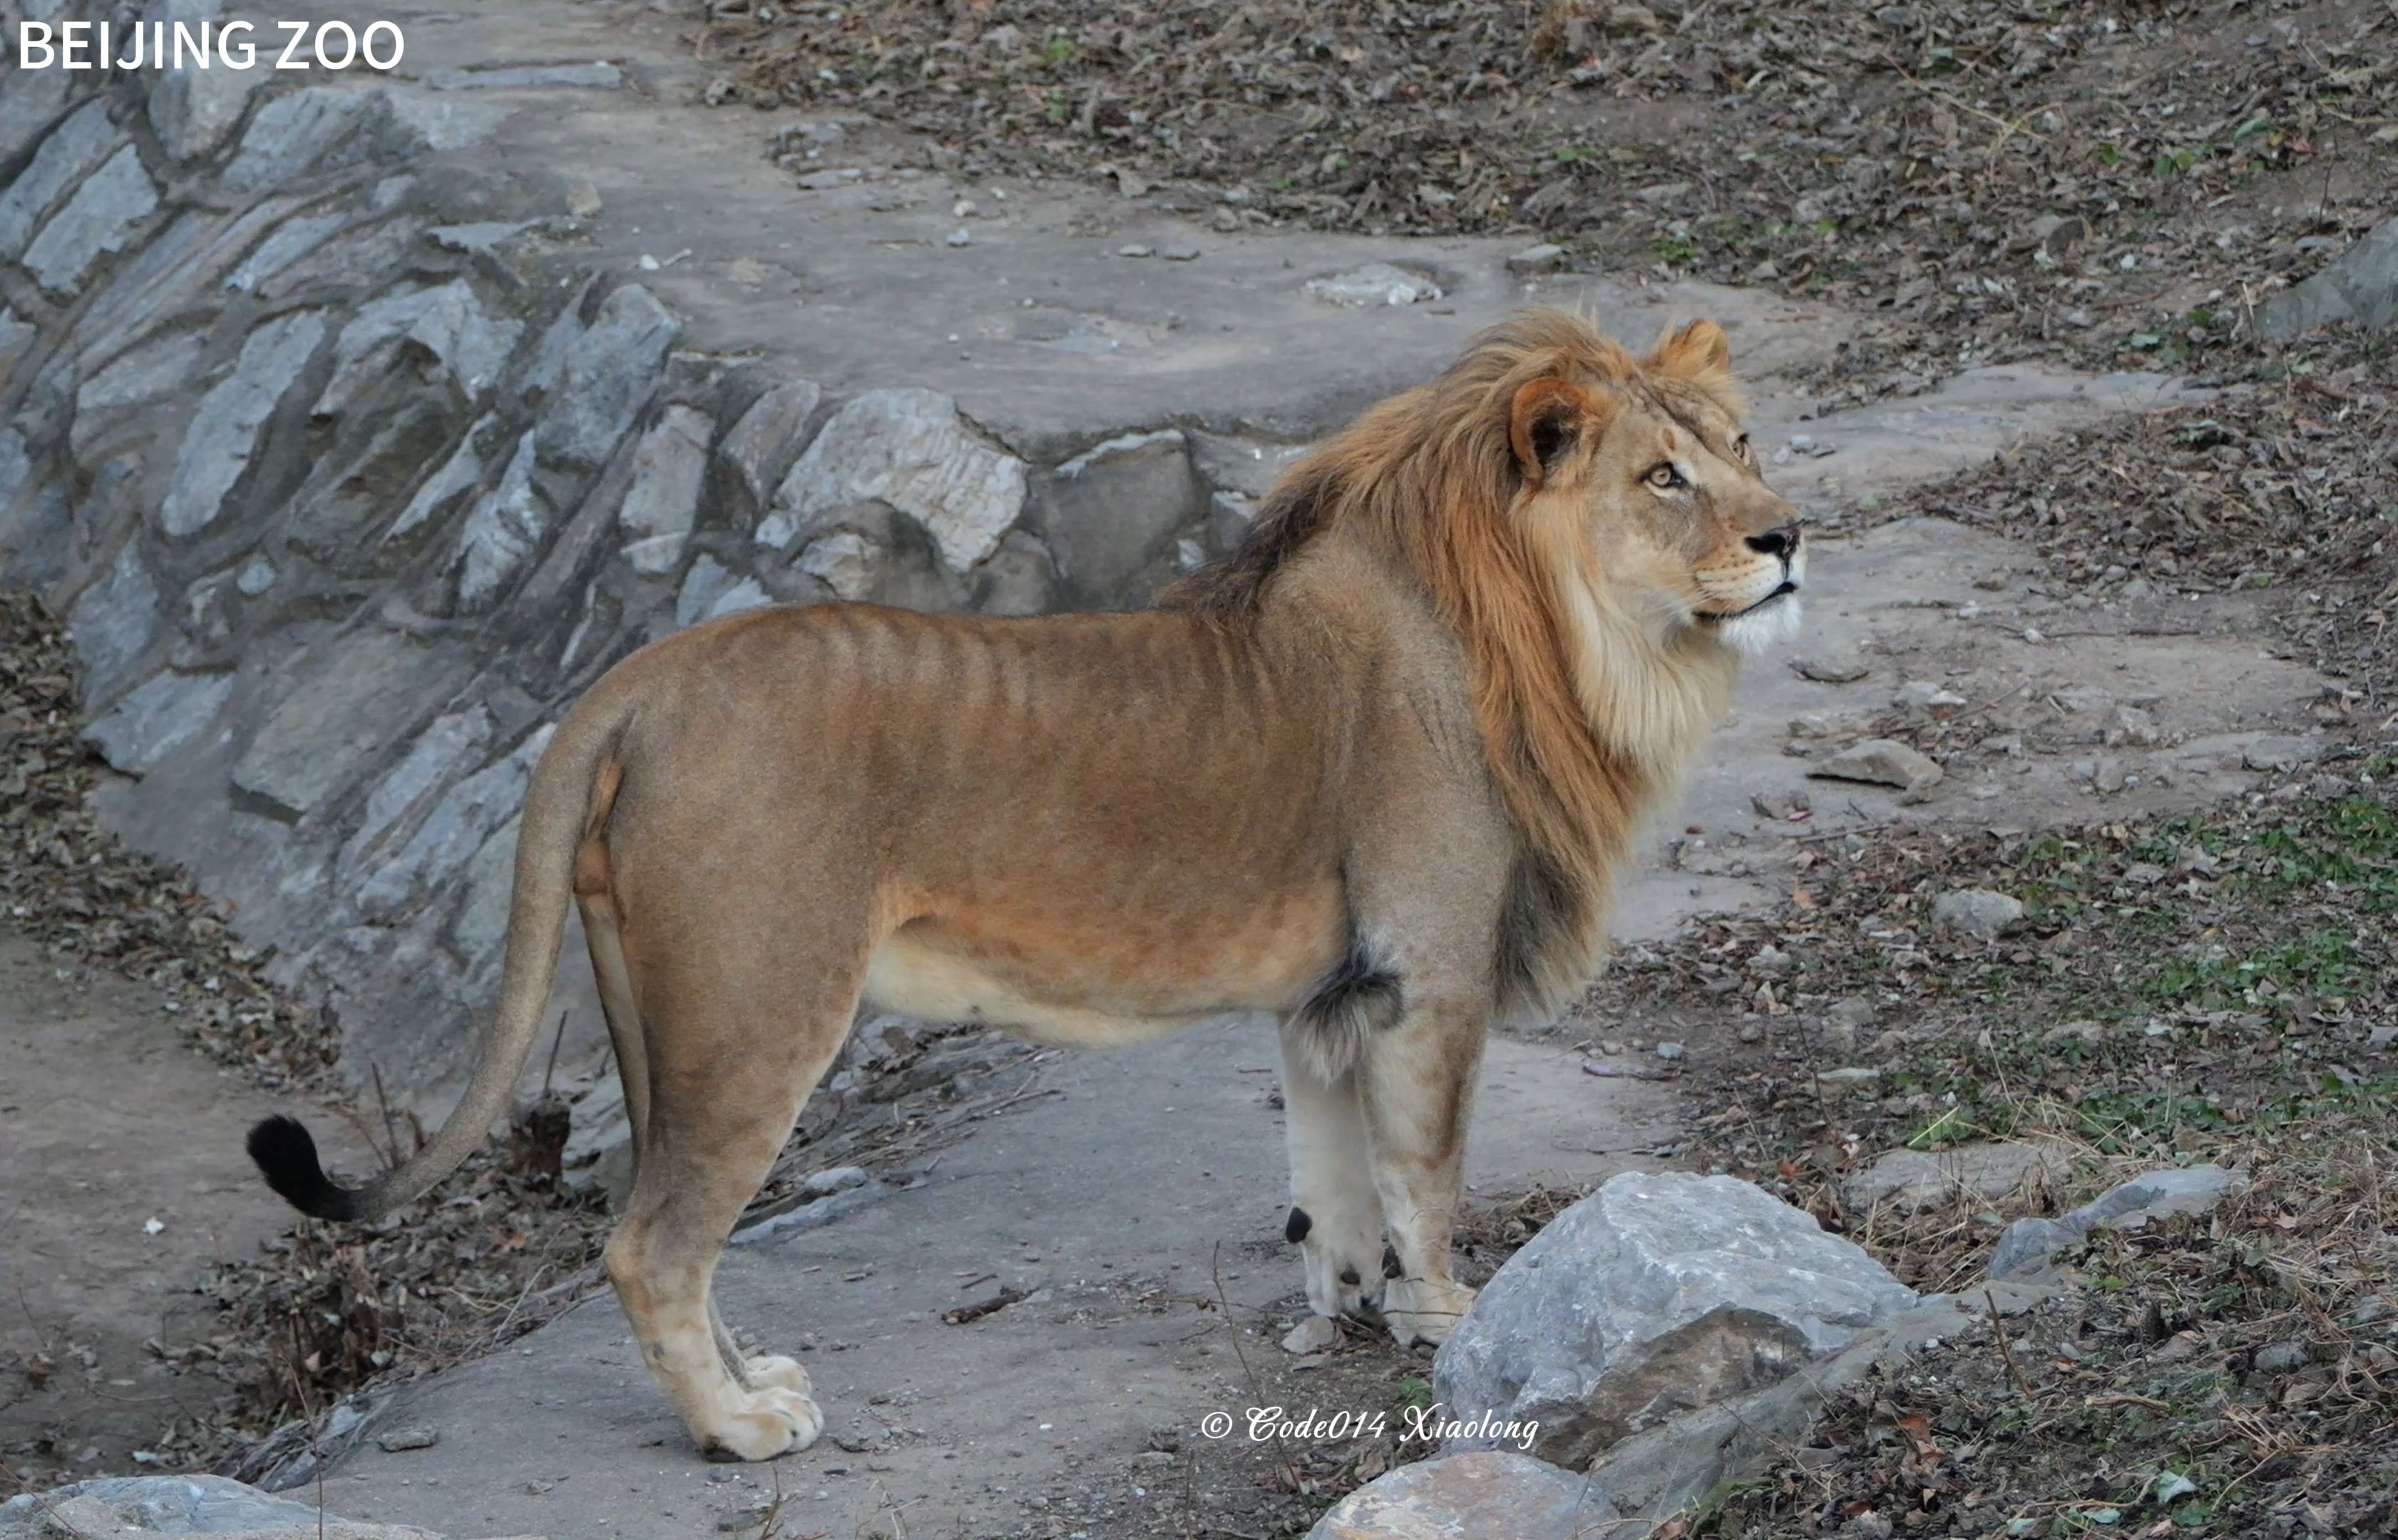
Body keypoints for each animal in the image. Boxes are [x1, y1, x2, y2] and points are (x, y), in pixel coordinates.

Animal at [252, 305, 1803, 1458]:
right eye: (1663, 479)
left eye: (1741, 444)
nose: (1787, 538)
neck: (1575, 645)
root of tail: (634, 679)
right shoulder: (1428, 971)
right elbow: (1424, 1175)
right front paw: (1448, 1324)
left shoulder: (1331, 995)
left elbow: (1330, 1175)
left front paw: (1345, 1304)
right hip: (761, 1008)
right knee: (652, 1246)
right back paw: (739, 1433)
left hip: (658, 1019)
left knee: (663, 1223)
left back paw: (753, 1384)